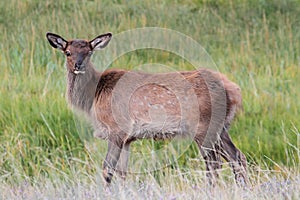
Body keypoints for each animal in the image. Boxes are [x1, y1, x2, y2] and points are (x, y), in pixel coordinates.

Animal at [46, 32, 248, 187]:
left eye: (88, 52)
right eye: (68, 52)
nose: (78, 65)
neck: (93, 97)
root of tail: (234, 90)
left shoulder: (116, 129)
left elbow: (107, 170)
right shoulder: (127, 138)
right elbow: (122, 172)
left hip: (203, 125)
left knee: (214, 163)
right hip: (222, 127)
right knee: (237, 157)